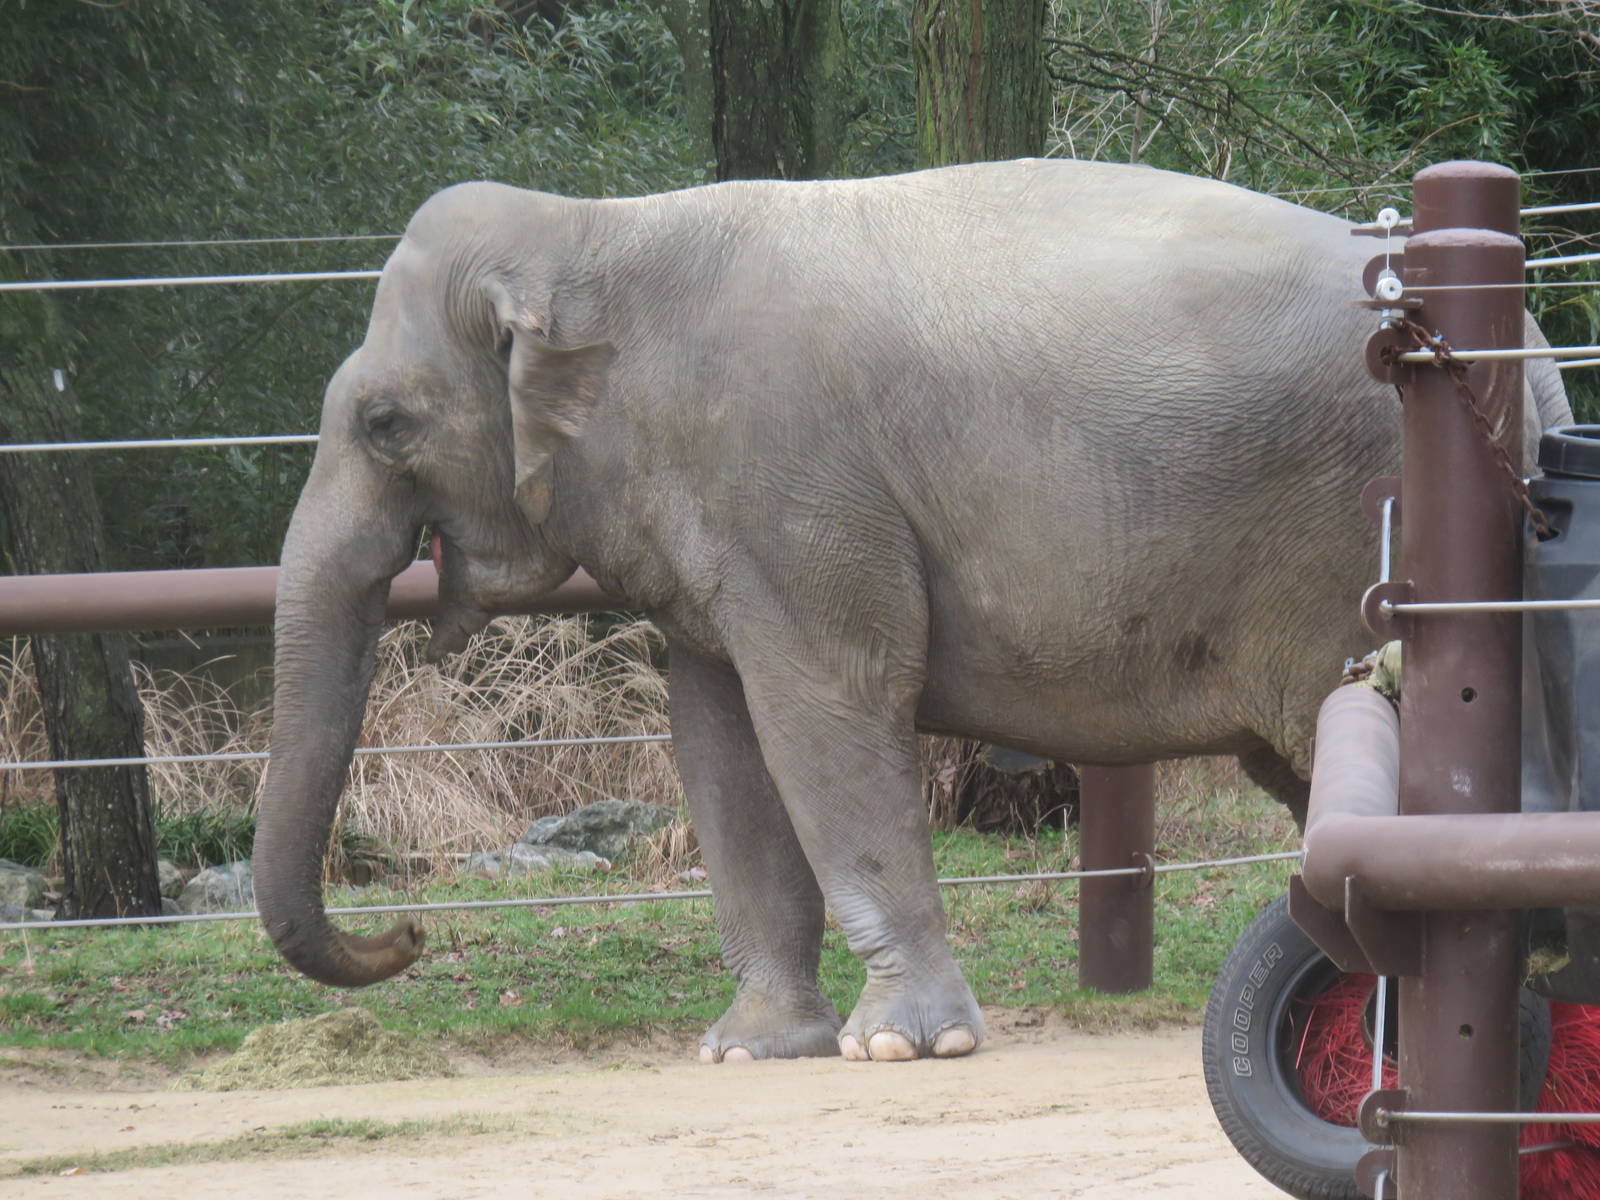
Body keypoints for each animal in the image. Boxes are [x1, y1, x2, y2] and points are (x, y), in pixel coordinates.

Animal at [254, 157, 1570, 1064]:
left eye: (385, 423)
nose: (408, 930)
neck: (596, 226)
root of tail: (1537, 348)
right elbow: (721, 742)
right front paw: (750, 1049)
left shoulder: (794, 486)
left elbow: (830, 706)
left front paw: (897, 1045)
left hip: (1357, 523)